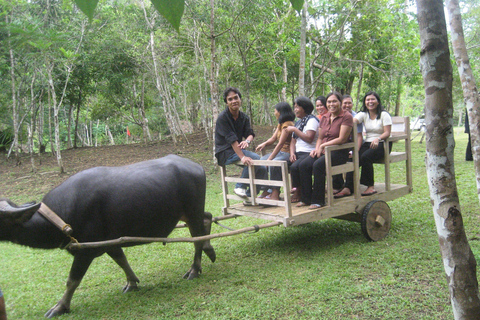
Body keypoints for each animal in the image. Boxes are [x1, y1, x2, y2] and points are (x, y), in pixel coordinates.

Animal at [0, 155, 216, 318]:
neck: (60, 217)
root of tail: (197, 166)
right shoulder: (110, 243)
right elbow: (122, 260)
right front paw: (131, 283)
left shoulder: (86, 251)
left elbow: (72, 280)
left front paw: (60, 306)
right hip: (189, 214)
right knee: (207, 218)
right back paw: (210, 250)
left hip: (192, 211)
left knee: (196, 239)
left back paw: (194, 269)